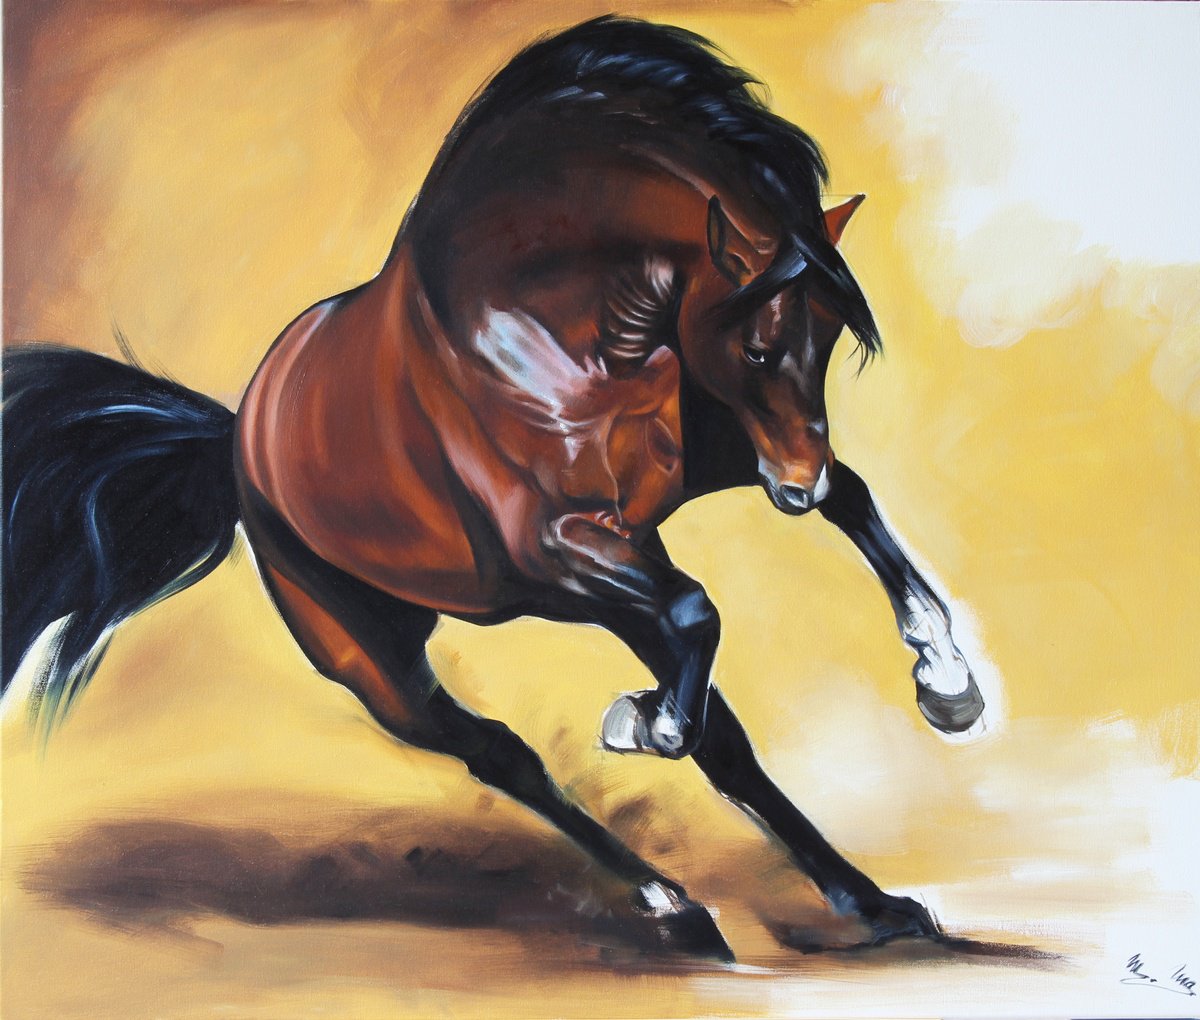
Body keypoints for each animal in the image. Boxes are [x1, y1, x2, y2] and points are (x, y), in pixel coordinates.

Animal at [2, 16, 985, 961]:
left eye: (832, 338)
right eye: (758, 347)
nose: (792, 485)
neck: (547, 324)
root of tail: (240, 436)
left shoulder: (692, 479)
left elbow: (849, 503)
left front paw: (947, 686)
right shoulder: (555, 550)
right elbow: (700, 610)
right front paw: (640, 726)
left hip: (590, 580)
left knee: (718, 740)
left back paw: (872, 904)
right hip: (375, 662)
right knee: (501, 754)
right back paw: (672, 903)